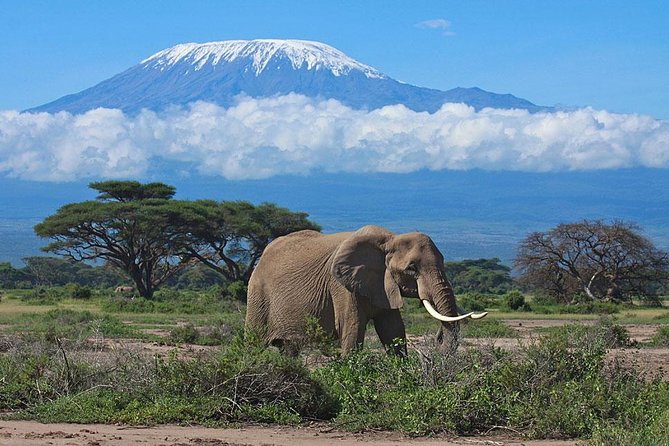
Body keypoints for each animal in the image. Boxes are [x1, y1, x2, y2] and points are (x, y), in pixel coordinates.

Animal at [245, 225, 487, 355]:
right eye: (412, 268)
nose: (437, 338)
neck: (389, 240)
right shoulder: (341, 286)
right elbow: (352, 331)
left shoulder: (383, 284)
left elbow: (393, 331)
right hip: (257, 293)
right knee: (253, 343)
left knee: (289, 350)